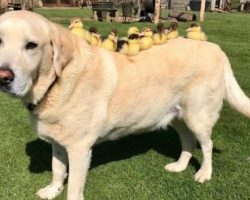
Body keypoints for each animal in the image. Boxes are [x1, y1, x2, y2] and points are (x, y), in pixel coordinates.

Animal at [0, 10, 250, 200]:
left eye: (31, 45)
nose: (4, 77)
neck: (55, 83)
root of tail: (216, 48)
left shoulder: (79, 150)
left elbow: (73, 188)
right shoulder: (59, 143)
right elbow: (57, 169)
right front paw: (53, 190)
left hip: (197, 116)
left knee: (206, 145)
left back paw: (204, 174)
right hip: (178, 116)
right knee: (188, 141)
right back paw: (179, 166)